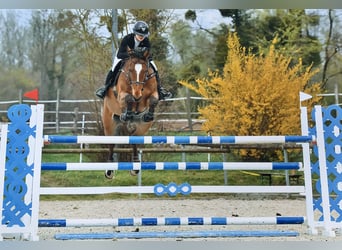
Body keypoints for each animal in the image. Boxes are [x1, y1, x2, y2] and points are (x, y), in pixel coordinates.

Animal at [101, 47, 159, 179]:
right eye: (130, 70)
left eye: (145, 71)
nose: (137, 93)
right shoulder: (121, 95)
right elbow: (129, 98)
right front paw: (127, 112)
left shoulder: (152, 93)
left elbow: (153, 100)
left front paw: (147, 114)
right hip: (109, 123)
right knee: (111, 143)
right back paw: (109, 170)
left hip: (141, 128)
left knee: (134, 139)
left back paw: (135, 167)